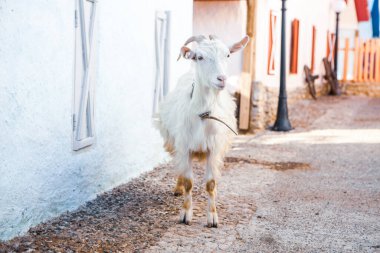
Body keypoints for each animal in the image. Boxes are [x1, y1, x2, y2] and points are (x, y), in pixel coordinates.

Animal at [158, 34, 249, 227]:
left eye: (228, 54)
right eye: (199, 57)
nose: (222, 79)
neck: (203, 114)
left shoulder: (214, 149)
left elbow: (210, 184)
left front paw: (212, 217)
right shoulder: (185, 147)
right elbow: (188, 182)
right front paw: (185, 214)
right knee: (179, 167)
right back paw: (177, 188)